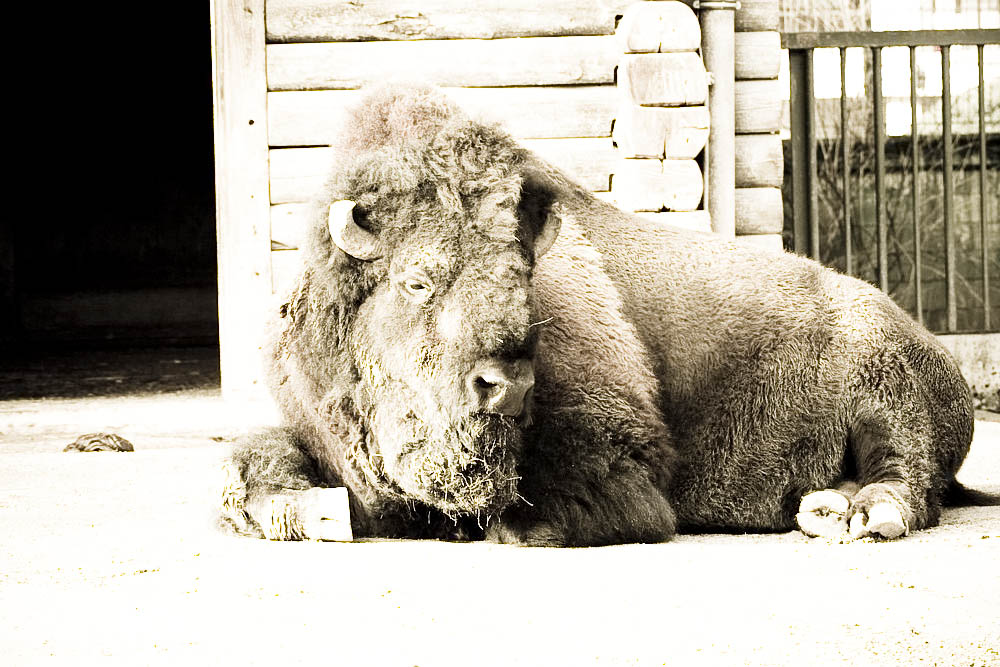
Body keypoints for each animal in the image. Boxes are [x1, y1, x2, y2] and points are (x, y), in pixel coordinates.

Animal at [220, 84, 980, 546]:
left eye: (525, 280)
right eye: (415, 280)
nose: (506, 385)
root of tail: (928, 343)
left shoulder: (618, 449)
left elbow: (544, 509)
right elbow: (249, 460)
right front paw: (308, 510)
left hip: (887, 401)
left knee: (907, 477)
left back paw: (858, 514)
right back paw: (825, 507)